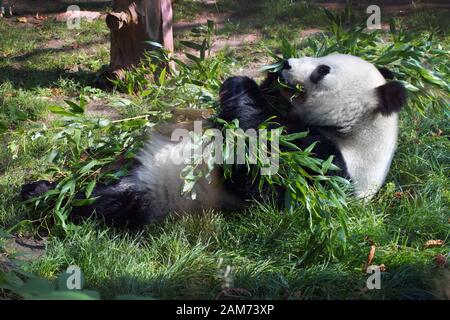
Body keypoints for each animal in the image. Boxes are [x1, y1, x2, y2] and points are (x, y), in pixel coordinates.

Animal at [22, 53, 408, 228]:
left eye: (322, 70)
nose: (286, 62)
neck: (352, 133)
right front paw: (261, 83)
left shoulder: (329, 168)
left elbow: (262, 178)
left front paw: (242, 86)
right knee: (94, 196)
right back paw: (39, 190)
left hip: (161, 200)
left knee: (104, 208)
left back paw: (45, 201)